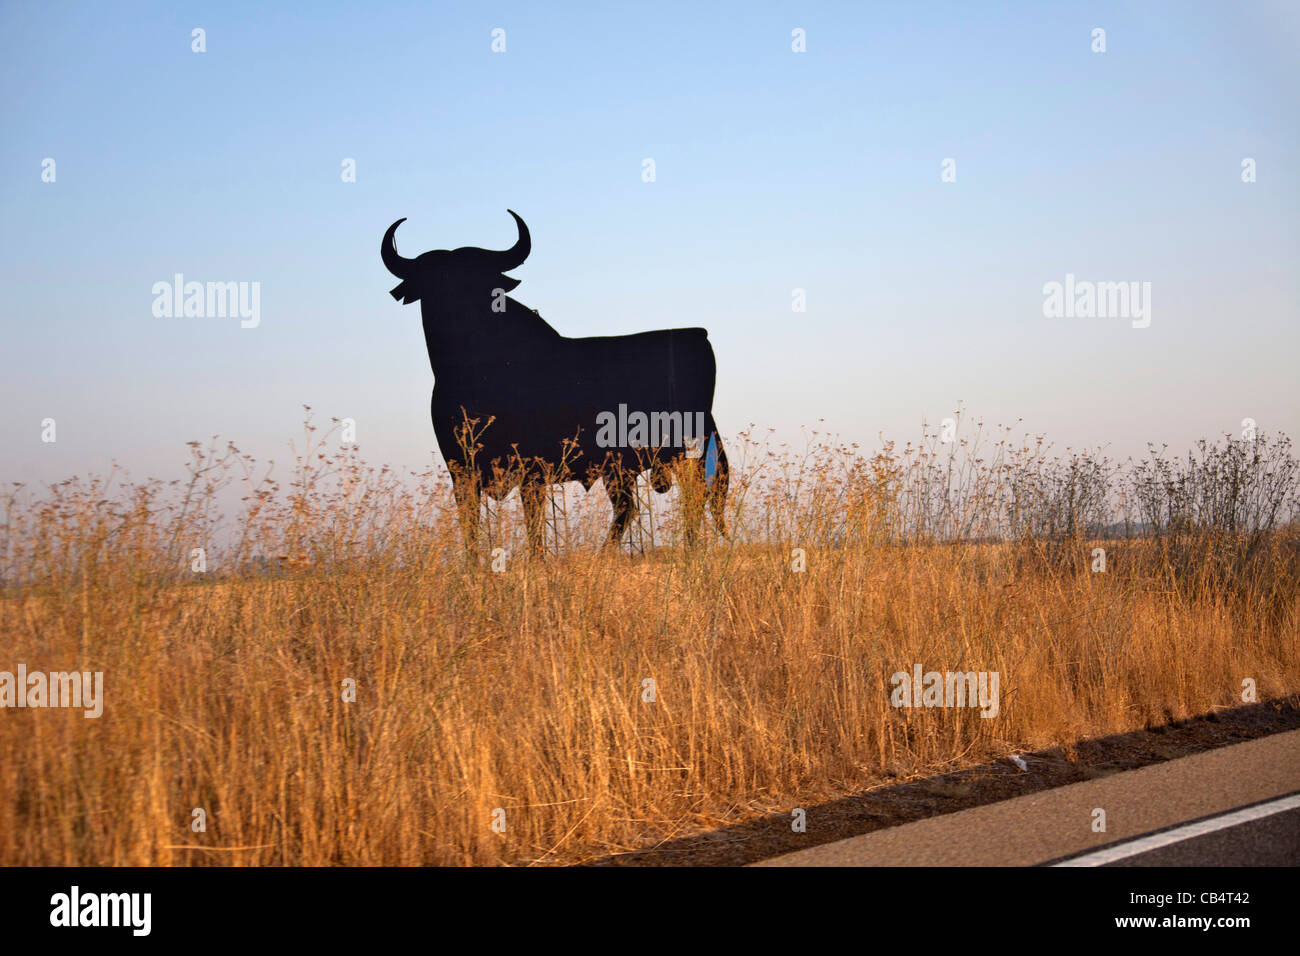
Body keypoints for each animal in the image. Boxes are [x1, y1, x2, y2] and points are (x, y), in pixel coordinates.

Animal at [381, 211, 728, 553]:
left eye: (480, 284)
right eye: (434, 286)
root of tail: (698, 335)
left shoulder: (531, 469)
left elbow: (534, 525)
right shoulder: (461, 469)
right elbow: (470, 527)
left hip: (689, 447)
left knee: (698, 494)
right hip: (626, 464)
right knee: (636, 504)